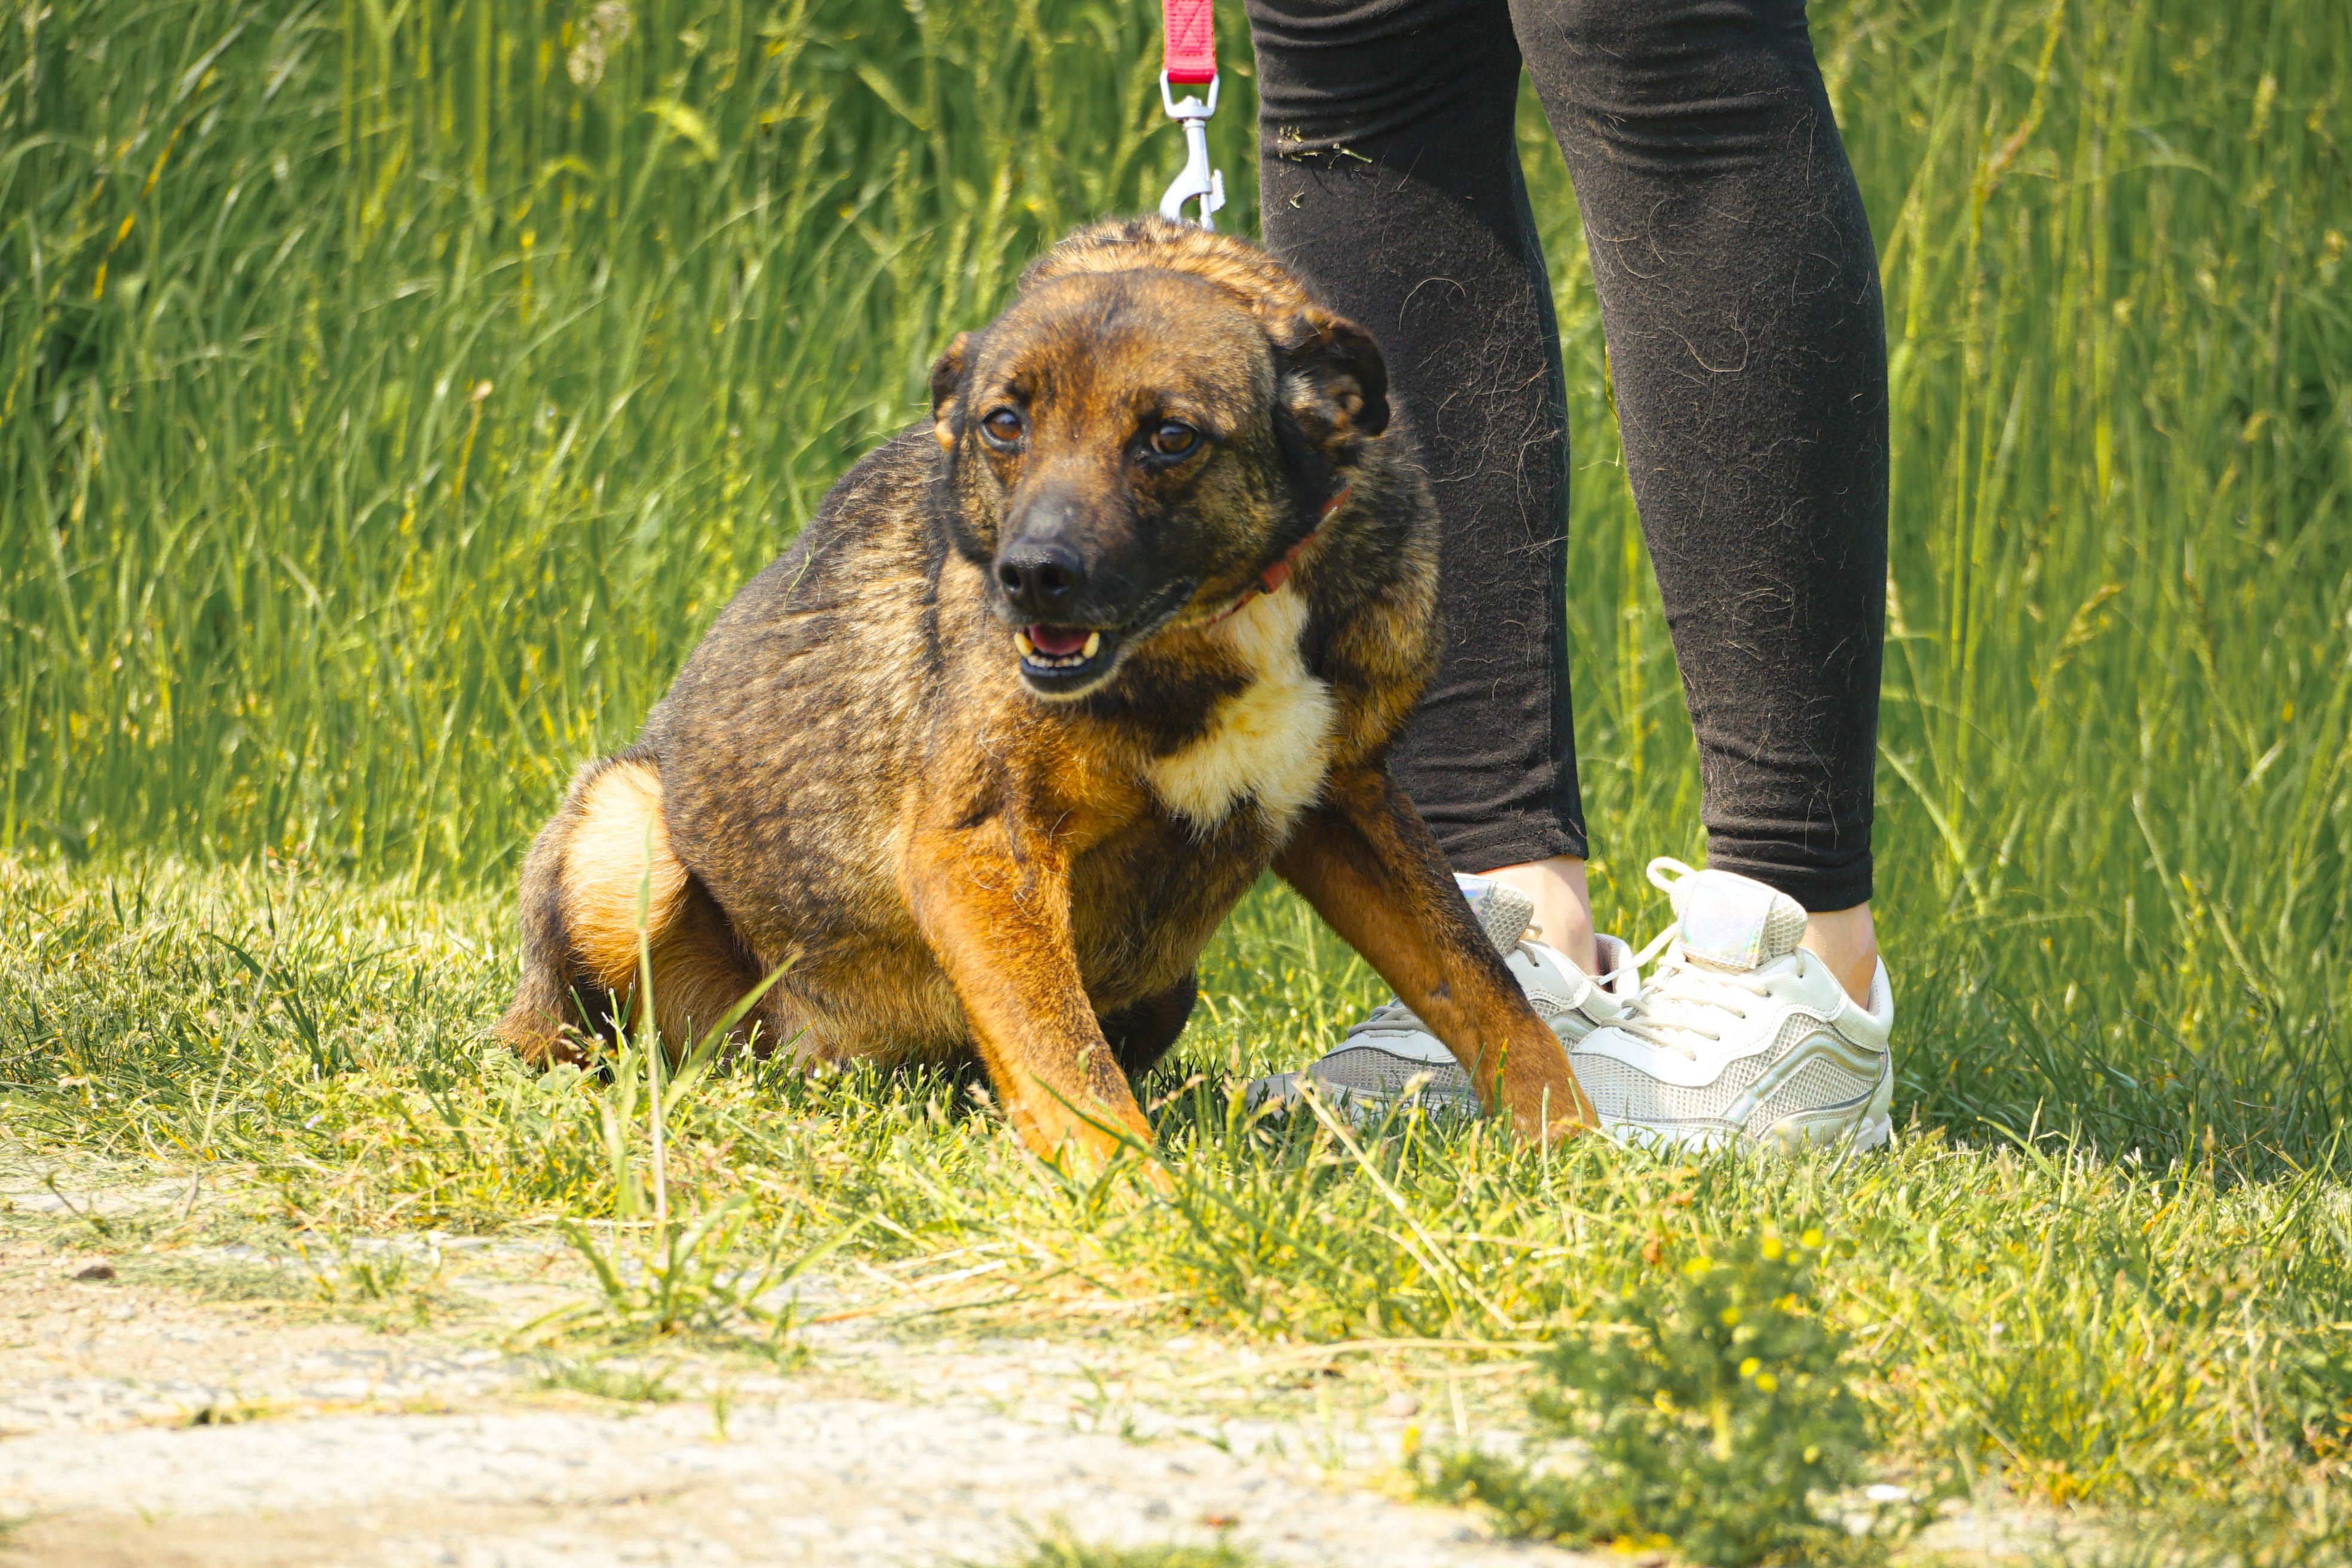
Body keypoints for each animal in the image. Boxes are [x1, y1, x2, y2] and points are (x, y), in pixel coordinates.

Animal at [496, 215, 1599, 1171]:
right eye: (1003, 424)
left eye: (1171, 437)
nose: (1030, 575)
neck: (1220, 617)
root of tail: (794, 1054)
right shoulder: (985, 848)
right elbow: (1068, 1063)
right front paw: (1138, 1199)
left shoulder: (1348, 799)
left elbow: (1483, 986)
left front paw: (1577, 1151)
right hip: (622, 831)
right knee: (574, 1033)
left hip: (1164, 983)